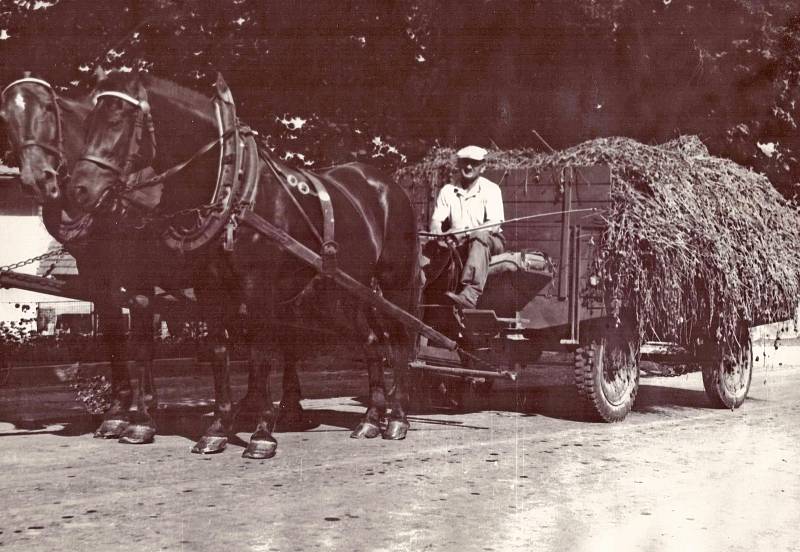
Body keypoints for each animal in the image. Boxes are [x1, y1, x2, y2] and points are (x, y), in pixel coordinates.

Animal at [69, 70, 422, 458]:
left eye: (117, 120)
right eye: (88, 121)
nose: (80, 189)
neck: (233, 185)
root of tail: (389, 185)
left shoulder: (258, 289)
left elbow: (260, 354)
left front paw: (262, 434)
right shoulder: (208, 288)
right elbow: (218, 351)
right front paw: (217, 429)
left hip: (394, 281)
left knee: (400, 339)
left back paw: (397, 418)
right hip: (340, 291)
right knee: (372, 340)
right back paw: (370, 420)